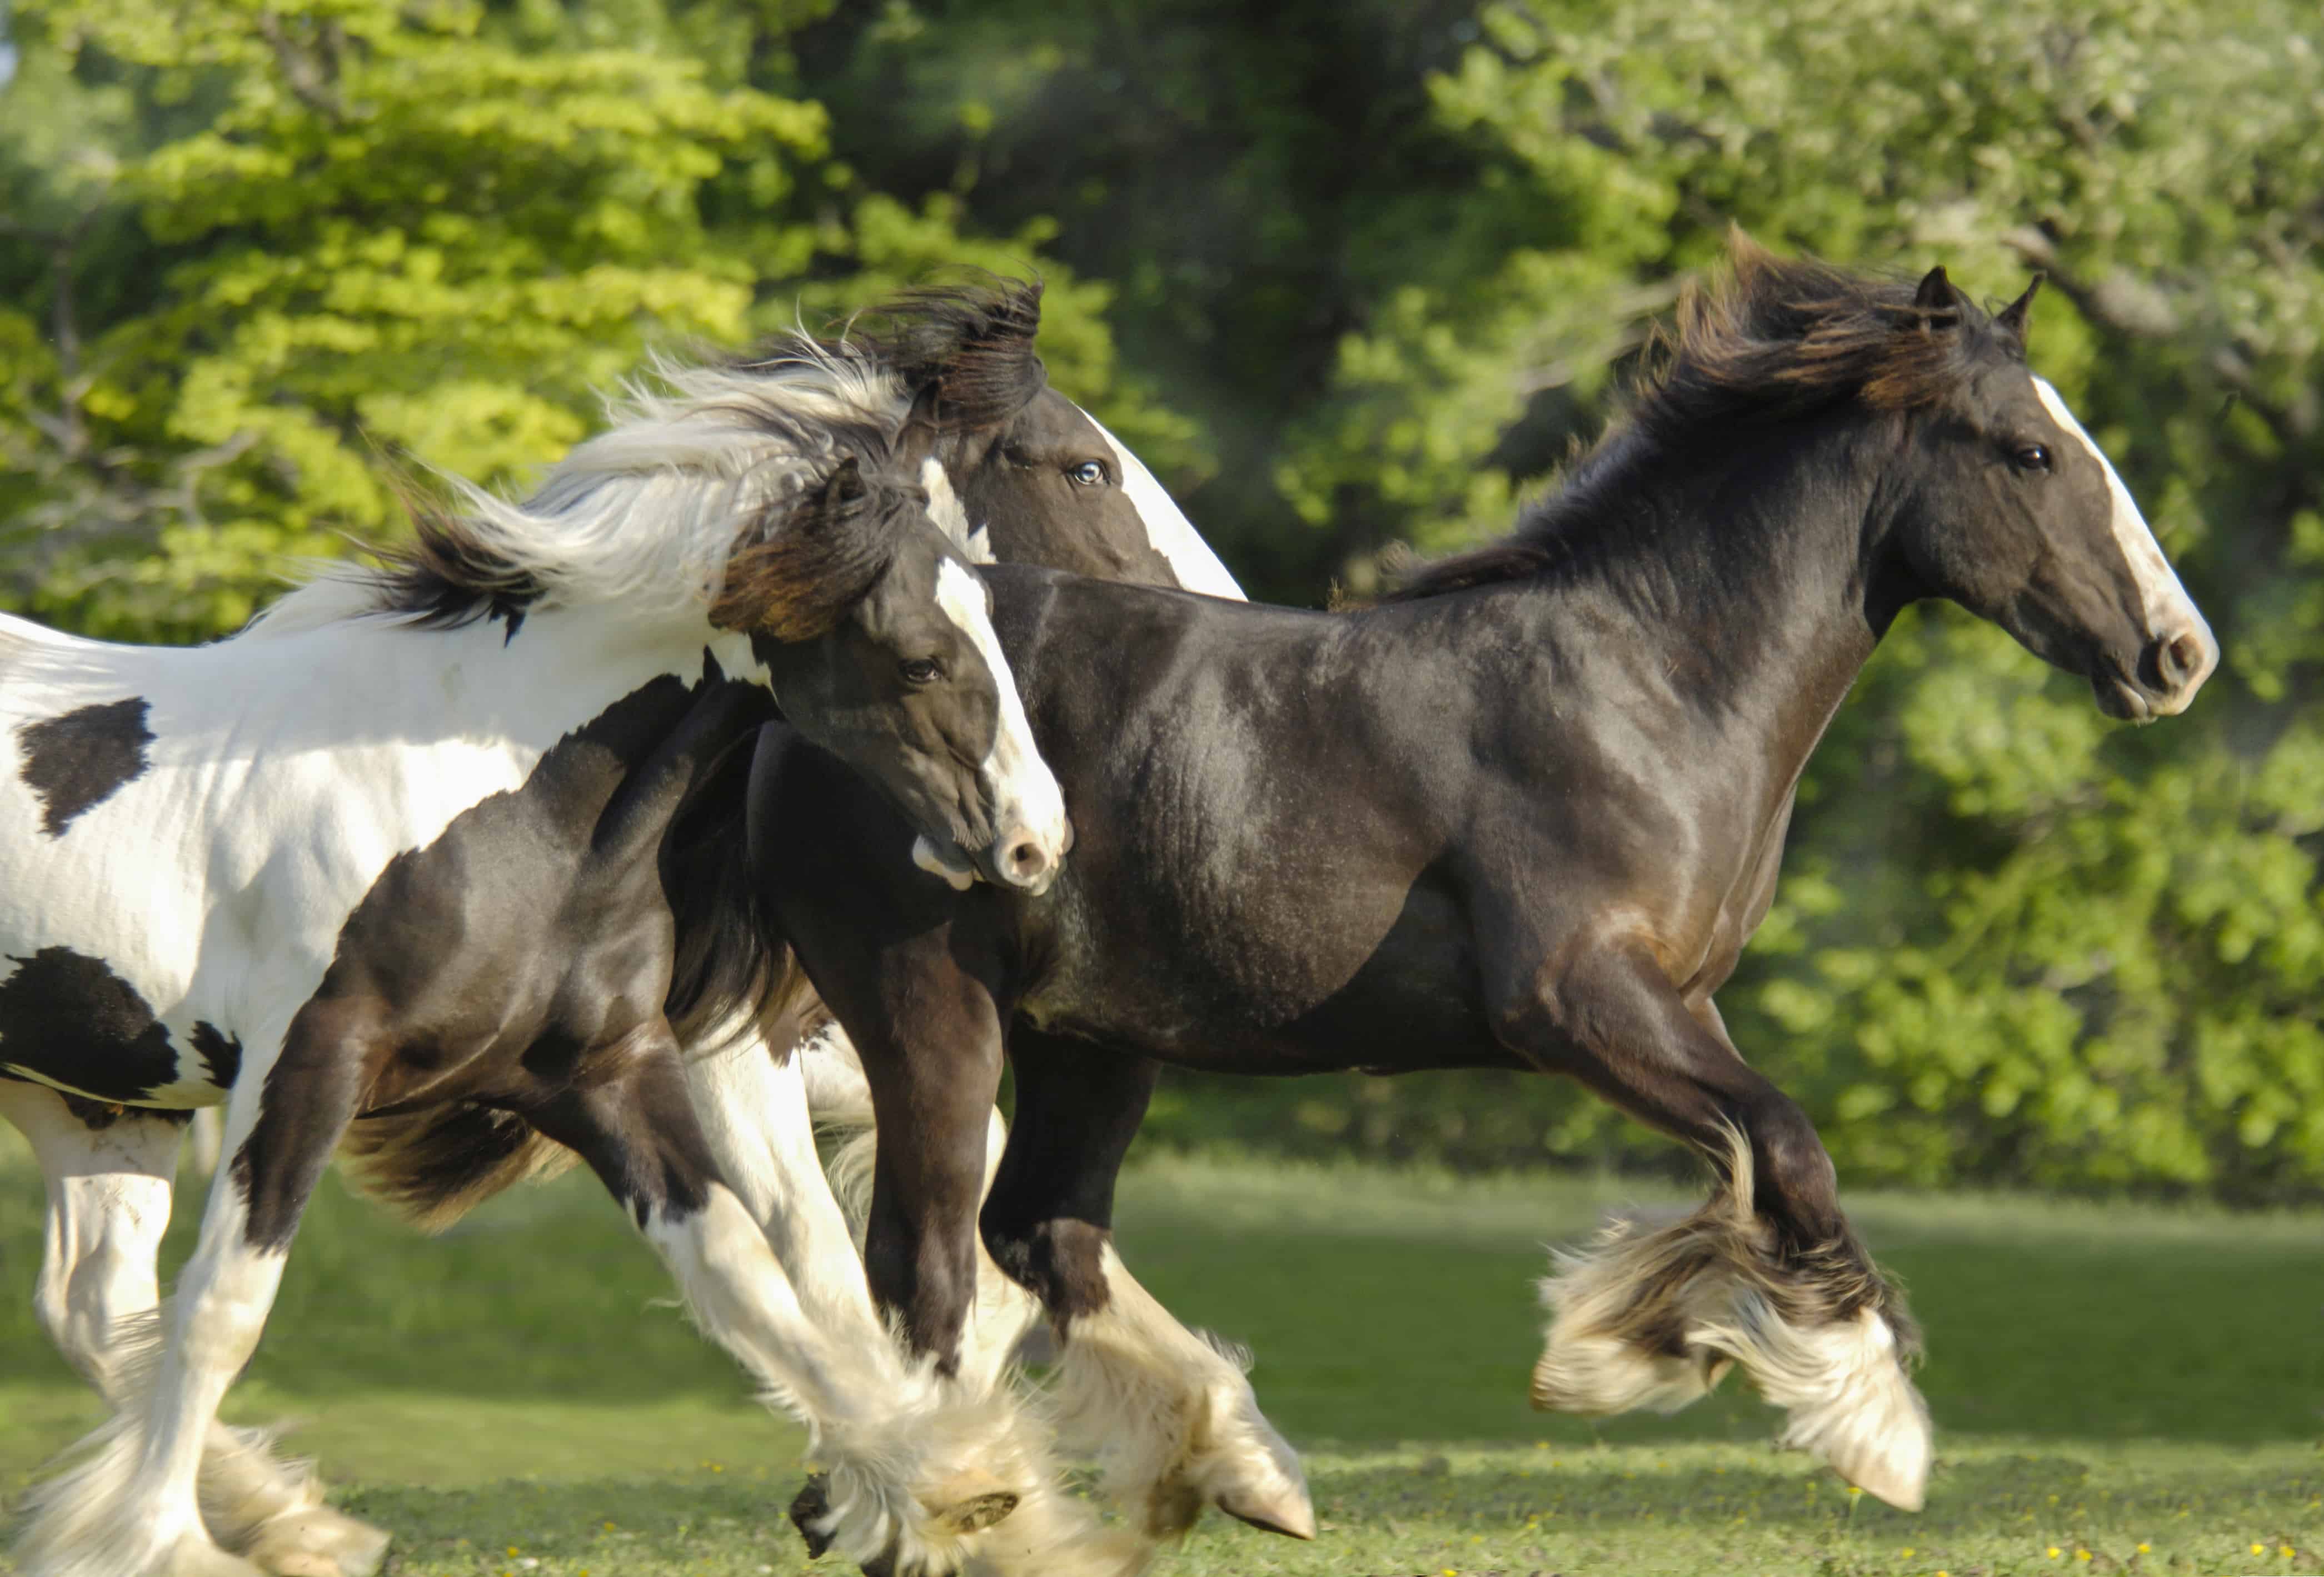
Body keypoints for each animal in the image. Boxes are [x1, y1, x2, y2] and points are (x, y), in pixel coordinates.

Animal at [3, 280, 1299, 1577]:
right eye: (1086, 469)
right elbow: (226, 1306)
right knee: (127, 1314)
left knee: (94, 1306)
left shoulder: (622, 1063)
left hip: (100, 1097)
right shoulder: (323, 1058)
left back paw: (292, 1519)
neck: (488, 790)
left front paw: (977, 1481)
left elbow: (764, 1274)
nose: (1038, 840)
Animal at [742, 243, 2220, 1532]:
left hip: (1089, 1039)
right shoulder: (1571, 1000)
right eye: (2031, 452)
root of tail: (791, 707)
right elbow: (1789, 1148)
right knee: (928, 1265)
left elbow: (1748, 1167)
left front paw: (1633, 1346)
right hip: (932, 1011)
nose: (2176, 653)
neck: (1645, 688)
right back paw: (958, 1495)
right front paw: (1866, 1426)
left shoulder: (1675, 1002)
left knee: (1040, 1236)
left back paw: (1234, 1471)